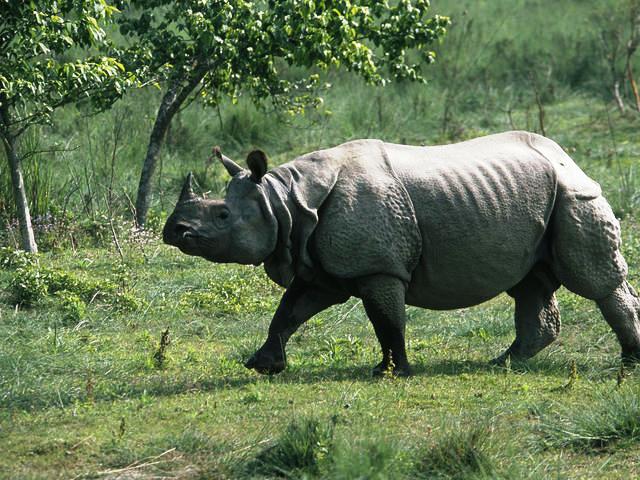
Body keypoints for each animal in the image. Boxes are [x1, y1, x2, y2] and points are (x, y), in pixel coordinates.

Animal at [163, 131, 640, 376]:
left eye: (222, 215)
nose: (174, 231)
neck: (285, 200)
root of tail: (567, 156)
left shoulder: (379, 267)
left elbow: (386, 319)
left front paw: (392, 372)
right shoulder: (320, 265)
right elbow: (290, 310)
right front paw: (263, 365)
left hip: (572, 192)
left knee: (594, 281)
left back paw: (630, 361)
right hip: (535, 196)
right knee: (529, 282)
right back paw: (501, 363)